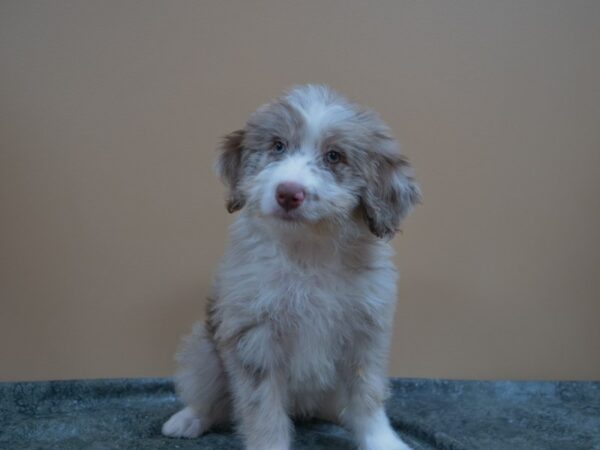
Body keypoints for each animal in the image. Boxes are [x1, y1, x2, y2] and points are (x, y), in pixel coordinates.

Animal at [162, 85, 420, 450]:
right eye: (278, 146)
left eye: (334, 157)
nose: (288, 193)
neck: (307, 251)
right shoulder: (254, 338)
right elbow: (263, 412)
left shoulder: (365, 336)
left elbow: (367, 398)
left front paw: (382, 442)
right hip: (203, 352)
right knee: (211, 400)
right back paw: (189, 419)